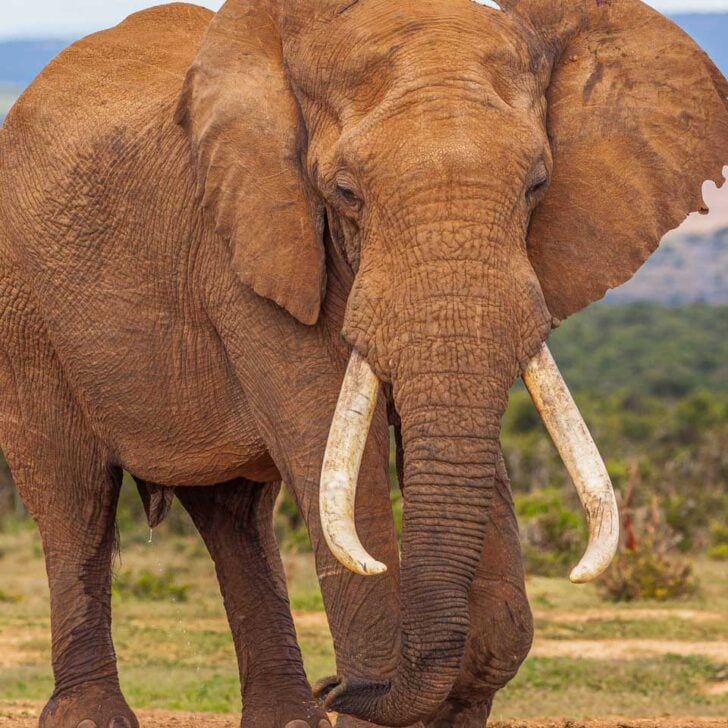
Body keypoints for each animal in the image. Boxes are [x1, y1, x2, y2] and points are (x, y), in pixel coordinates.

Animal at [0, 0, 726, 727]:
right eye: (346, 192)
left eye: (537, 186)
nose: (337, 687)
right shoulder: (246, 247)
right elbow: (335, 443)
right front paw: (367, 700)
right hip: (25, 314)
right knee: (75, 498)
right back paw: (95, 715)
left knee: (235, 515)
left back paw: (290, 719)